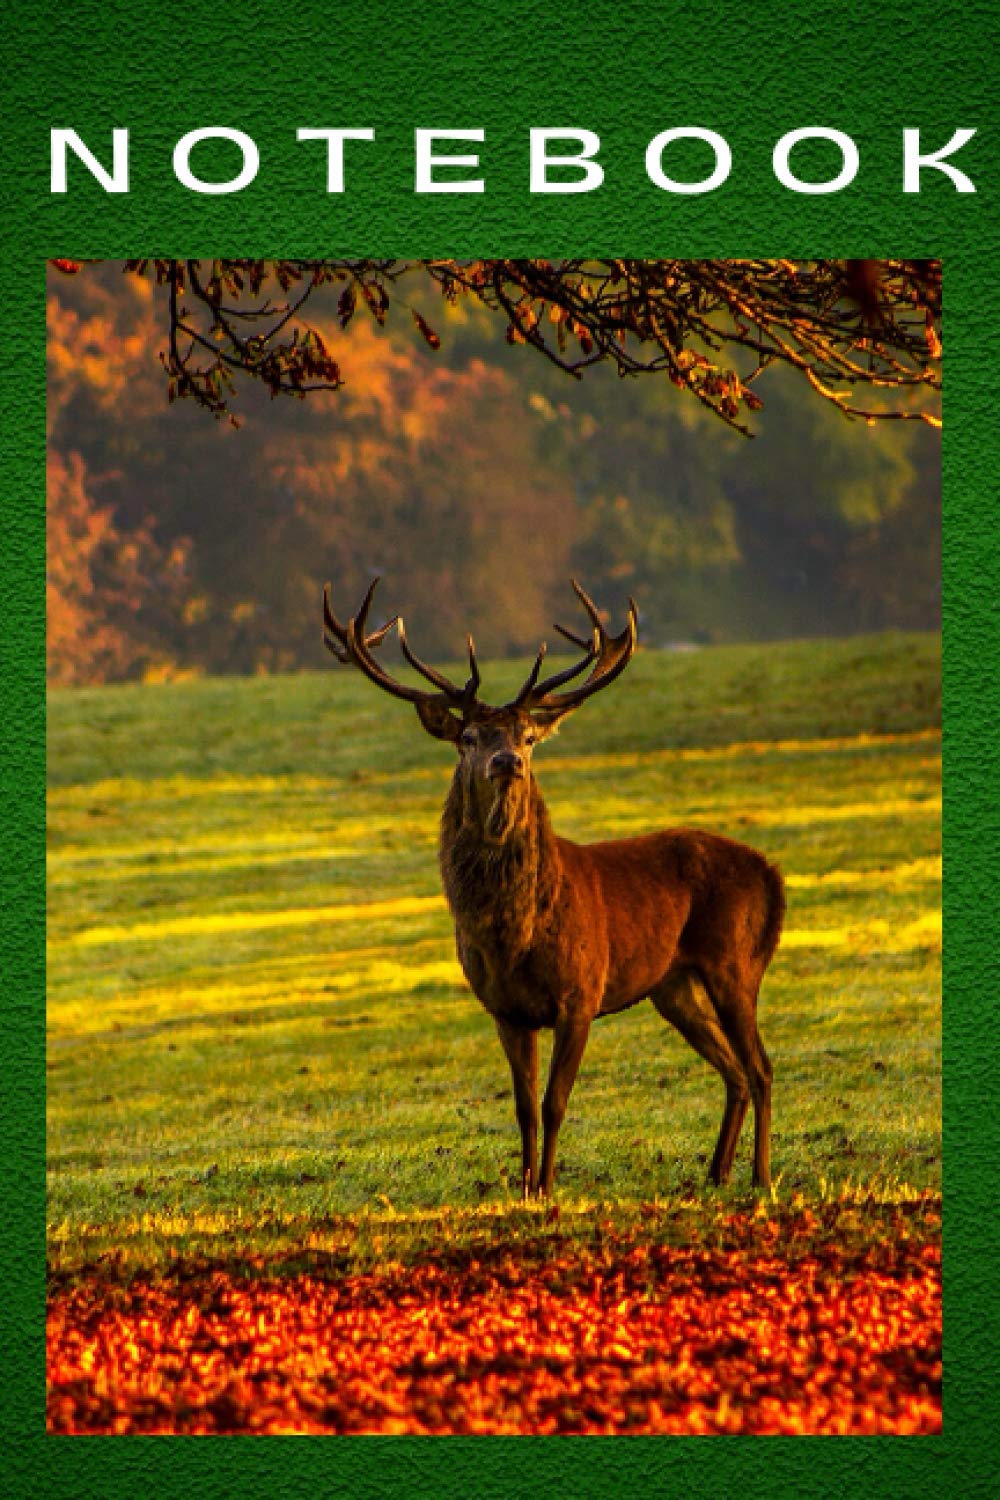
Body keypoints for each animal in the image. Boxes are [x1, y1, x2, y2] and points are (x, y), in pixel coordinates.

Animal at [323, 577, 784, 1198]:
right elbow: (522, 1107)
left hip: (735, 962)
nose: (506, 761)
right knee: (733, 1069)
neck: (514, 935)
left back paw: (760, 1175)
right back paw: (715, 1172)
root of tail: (772, 874)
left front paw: (547, 1188)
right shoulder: (504, 1009)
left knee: (760, 1066)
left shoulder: (581, 993)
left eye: (527, 736)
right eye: (468, 736)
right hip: (673, 985)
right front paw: (523, 1189)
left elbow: (555, 1102)